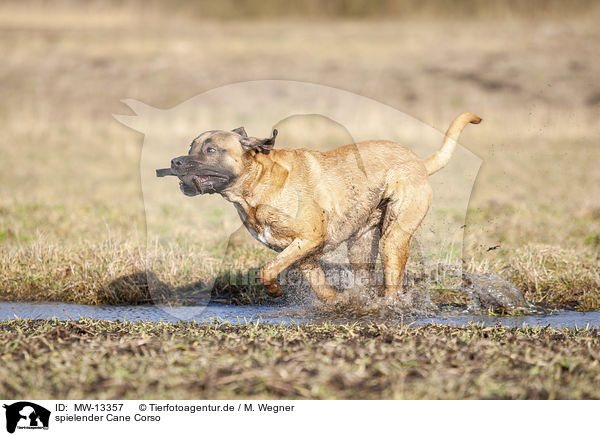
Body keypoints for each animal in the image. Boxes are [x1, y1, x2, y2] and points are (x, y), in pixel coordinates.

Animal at [162, 112, 480, 300]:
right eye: (190, 147)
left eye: (211, 149)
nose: (175, 162)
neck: (258, 183)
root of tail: (419, 163)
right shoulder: (303, 255)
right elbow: (321, 290)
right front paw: (336, 302)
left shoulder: (309, 238)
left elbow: (266, 271)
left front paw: (275, 291)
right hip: (361, 246)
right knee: (366, 278)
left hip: (394, 238)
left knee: (392, 283)